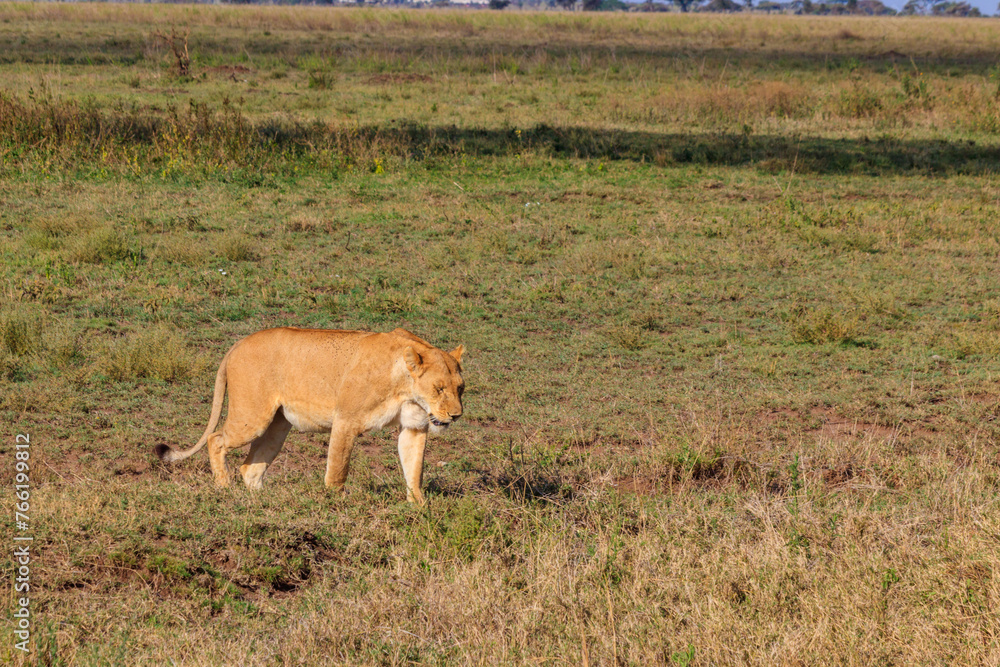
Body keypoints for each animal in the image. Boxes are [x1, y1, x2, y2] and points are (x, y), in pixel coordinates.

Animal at [154, 327, 464, 505]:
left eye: (460, 388)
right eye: (439, 388)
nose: (457, 415)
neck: (406, 387)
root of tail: (237, 344)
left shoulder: (415, 426)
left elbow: (414, 469)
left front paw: (419, 507)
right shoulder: (346, 420)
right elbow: (338, 469)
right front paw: (334, 503)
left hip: (277, 426)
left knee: (250, 468)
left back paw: (264, 502)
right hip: (252, 417)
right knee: (216, 439)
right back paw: (224, 487)